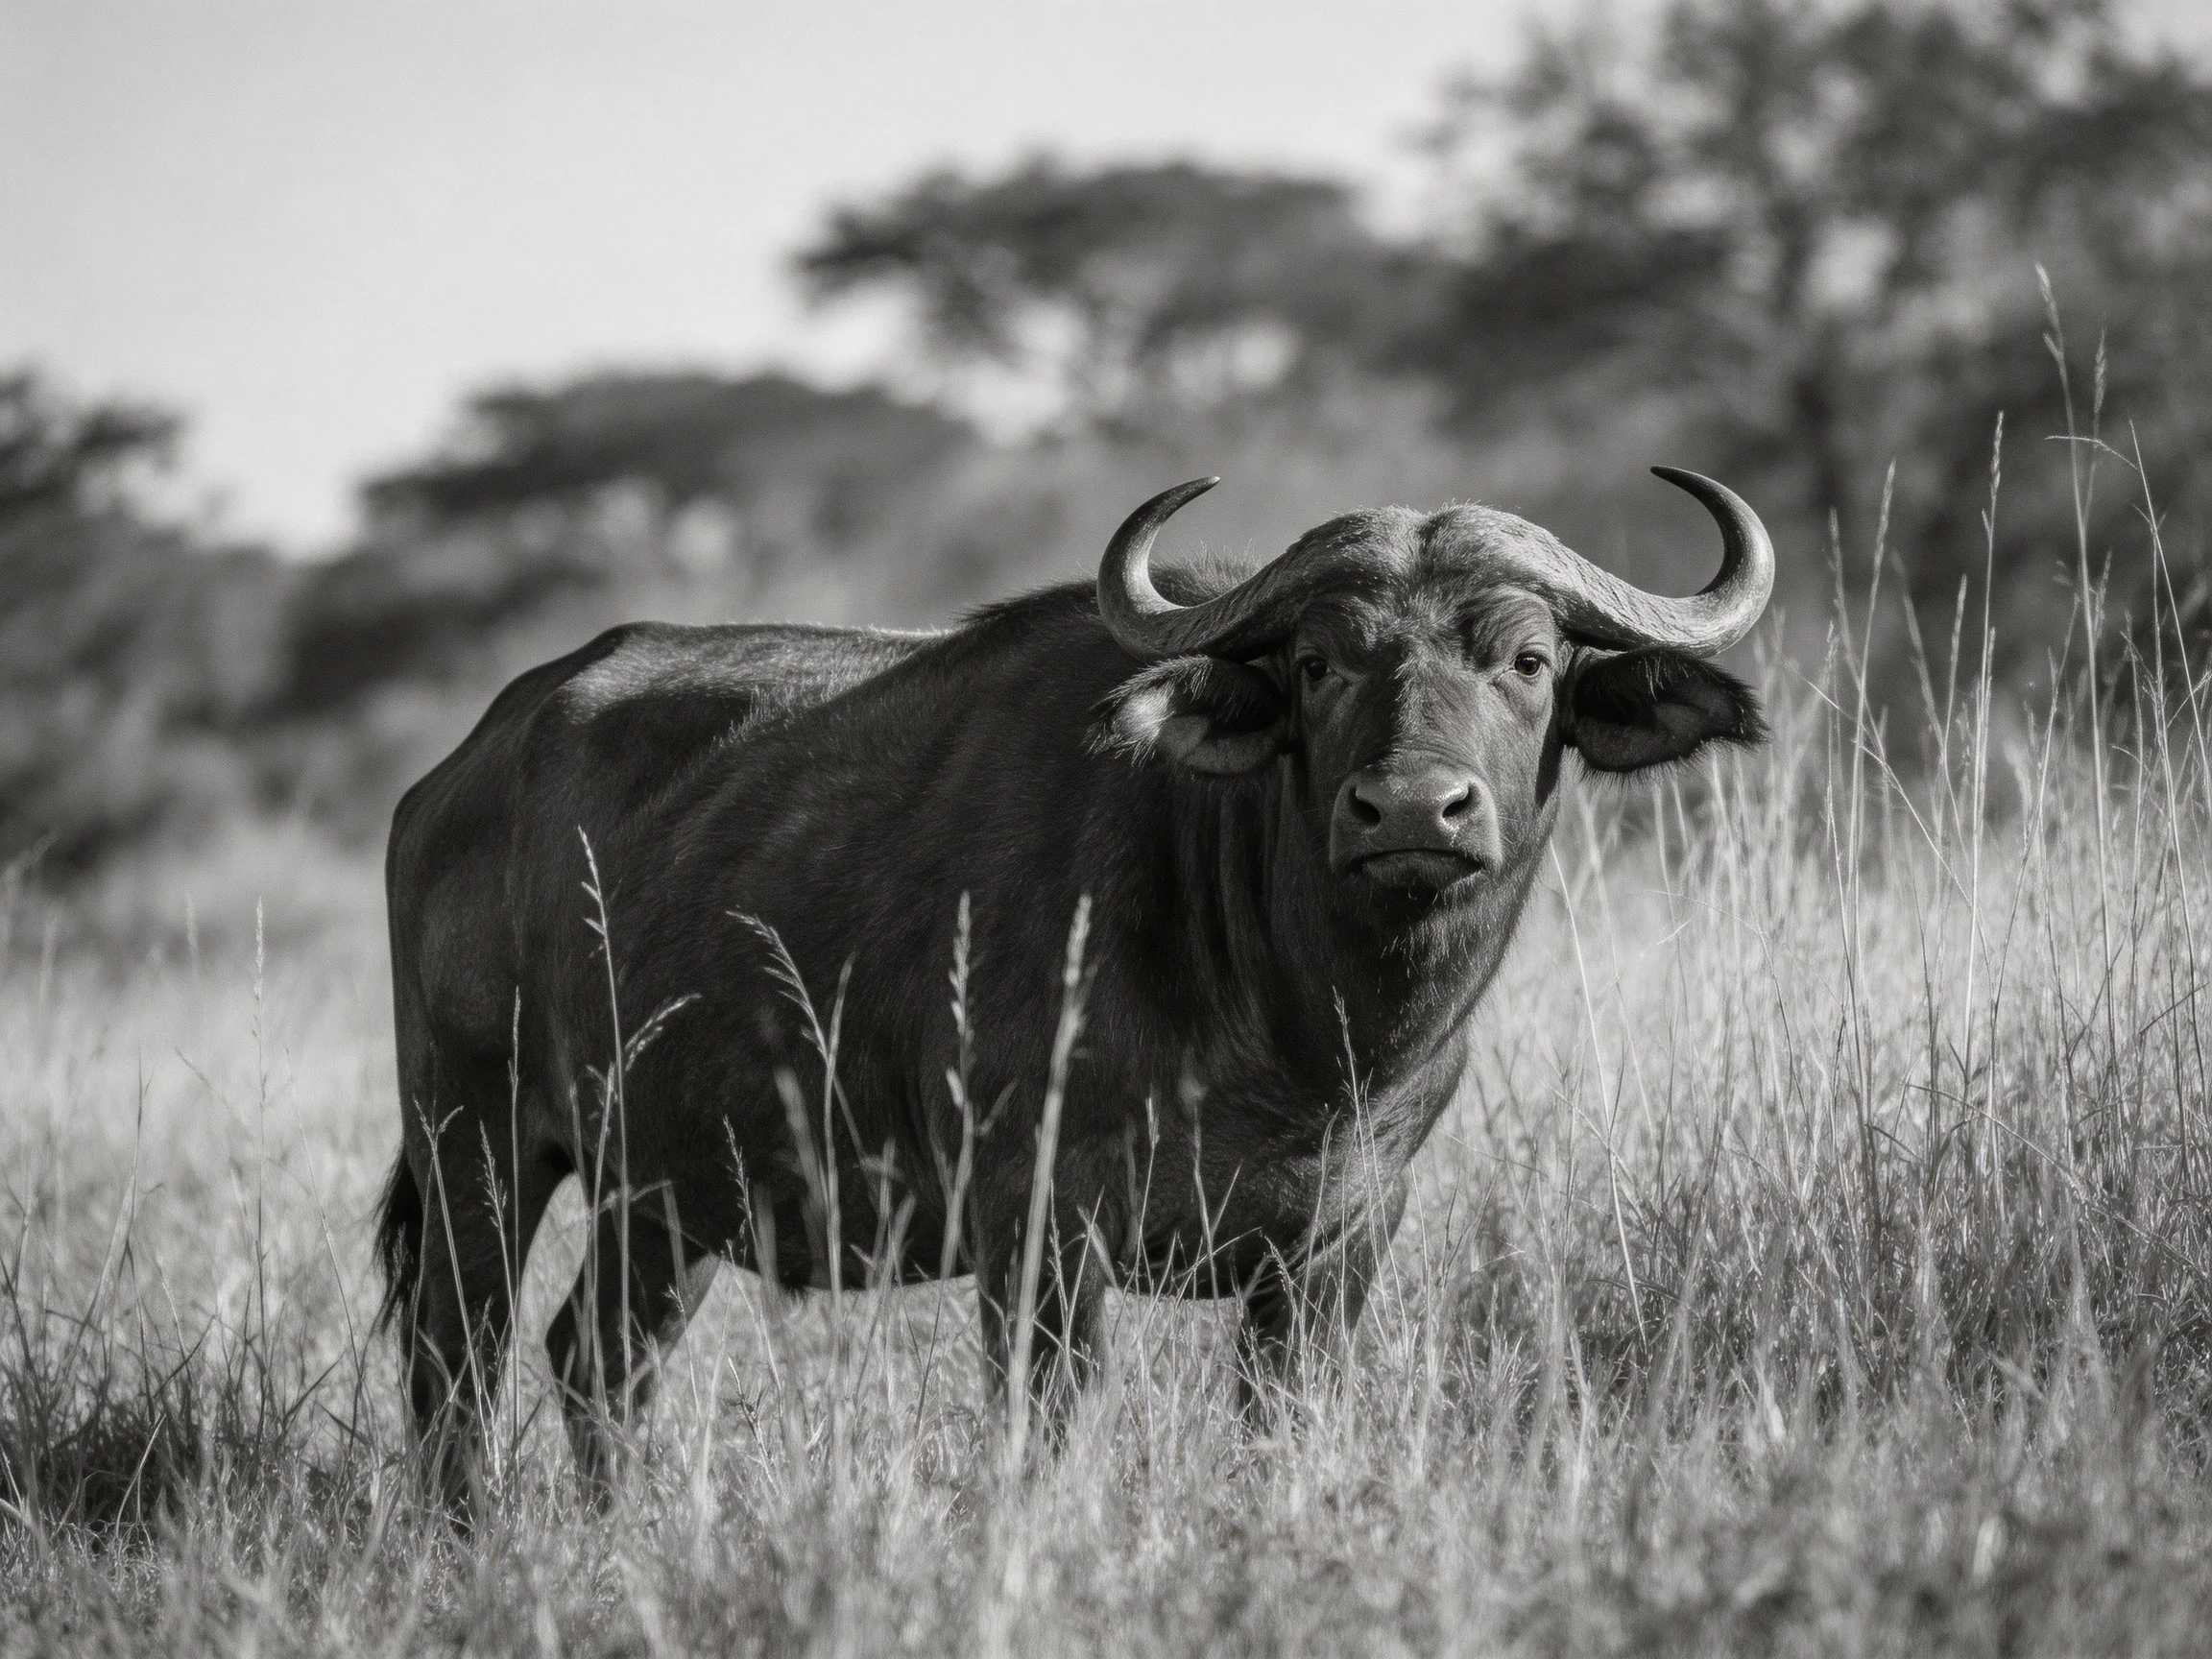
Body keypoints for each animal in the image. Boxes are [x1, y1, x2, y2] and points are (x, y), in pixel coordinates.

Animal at [377, 469, 1772, 1510]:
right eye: (1319, 664)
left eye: (1528, 660)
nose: (1415, 810)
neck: (1296, 1027)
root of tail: (460, 768)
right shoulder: (1036, 1228)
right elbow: (1044, 1431)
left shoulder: (1335, 1249)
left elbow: (1279, 1430)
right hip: (477, 1145)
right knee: (455, 1358)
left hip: (663, 1195)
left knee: (596, 1361)